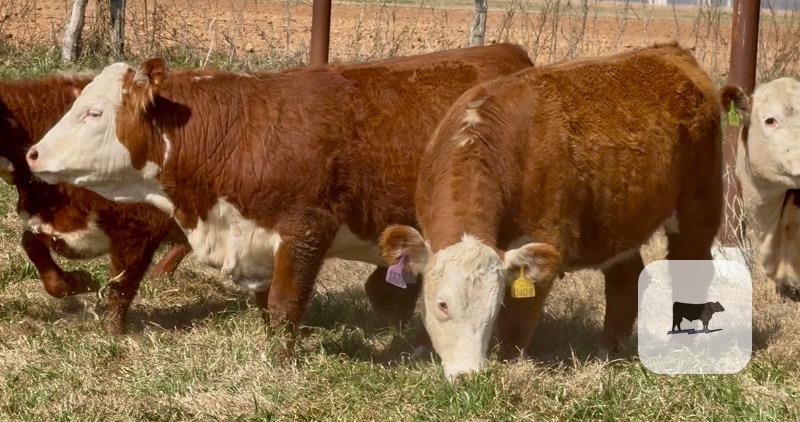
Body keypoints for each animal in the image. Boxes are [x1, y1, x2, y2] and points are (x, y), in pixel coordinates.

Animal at [23, 44, 533, 344]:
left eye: (93, 112)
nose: (33, 153)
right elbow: (264, 303)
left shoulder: (307, 229)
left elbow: (285, 302)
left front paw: (281, 363)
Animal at [379, 43, 724, 380]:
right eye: (442, 305)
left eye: (493, 308)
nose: (469, 375)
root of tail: (670, 50)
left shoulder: (547, 238)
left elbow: (517, 321)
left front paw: (509, 366)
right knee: (625, 280)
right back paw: (608, 350)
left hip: (700, 204)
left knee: (692, 264)